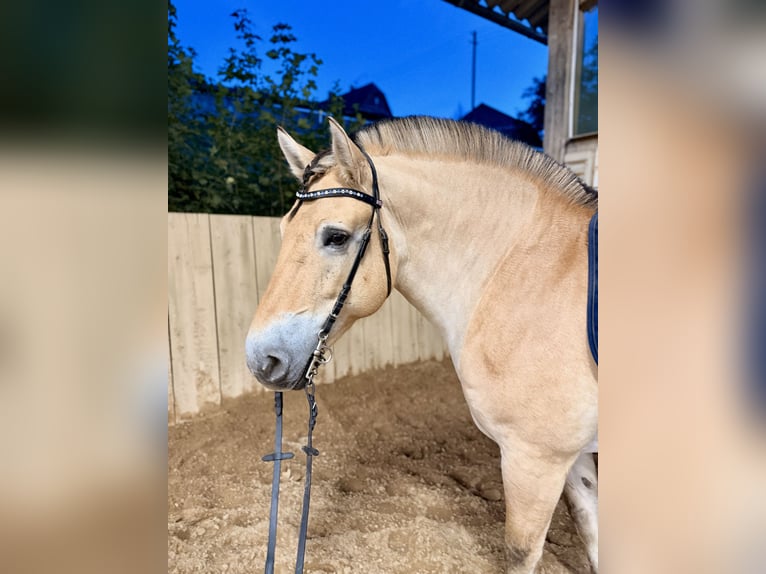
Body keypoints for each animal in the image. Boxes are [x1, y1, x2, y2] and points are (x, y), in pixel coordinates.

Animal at [246, 116, 598, 573]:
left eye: (336, 237)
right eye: (283, 229)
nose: (260, 359)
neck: (526, 272)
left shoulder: (534, 460)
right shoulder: (572, 459)